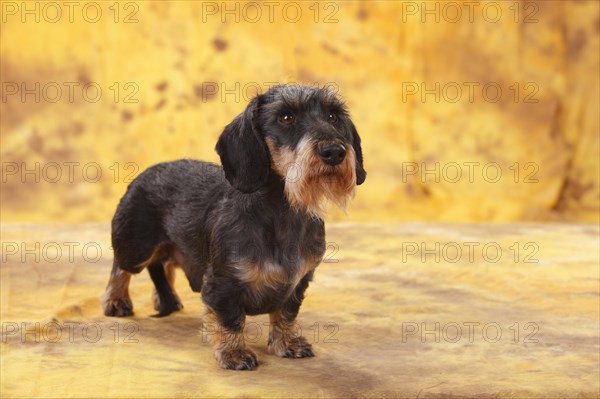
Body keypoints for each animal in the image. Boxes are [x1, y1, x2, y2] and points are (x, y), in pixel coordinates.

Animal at [102, 84, 366, 372]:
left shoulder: (299, 282)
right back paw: (116, 301)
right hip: (135, 247)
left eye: (333, 117)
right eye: (286, 117)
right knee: (122, 268)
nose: (335, 152)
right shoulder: (223, 284)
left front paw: (288, 343)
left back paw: (164, 297)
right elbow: (230, 319)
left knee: (165, 264)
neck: (282, 212)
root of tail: (144, 173)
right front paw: (235, 353)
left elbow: (286, 314)